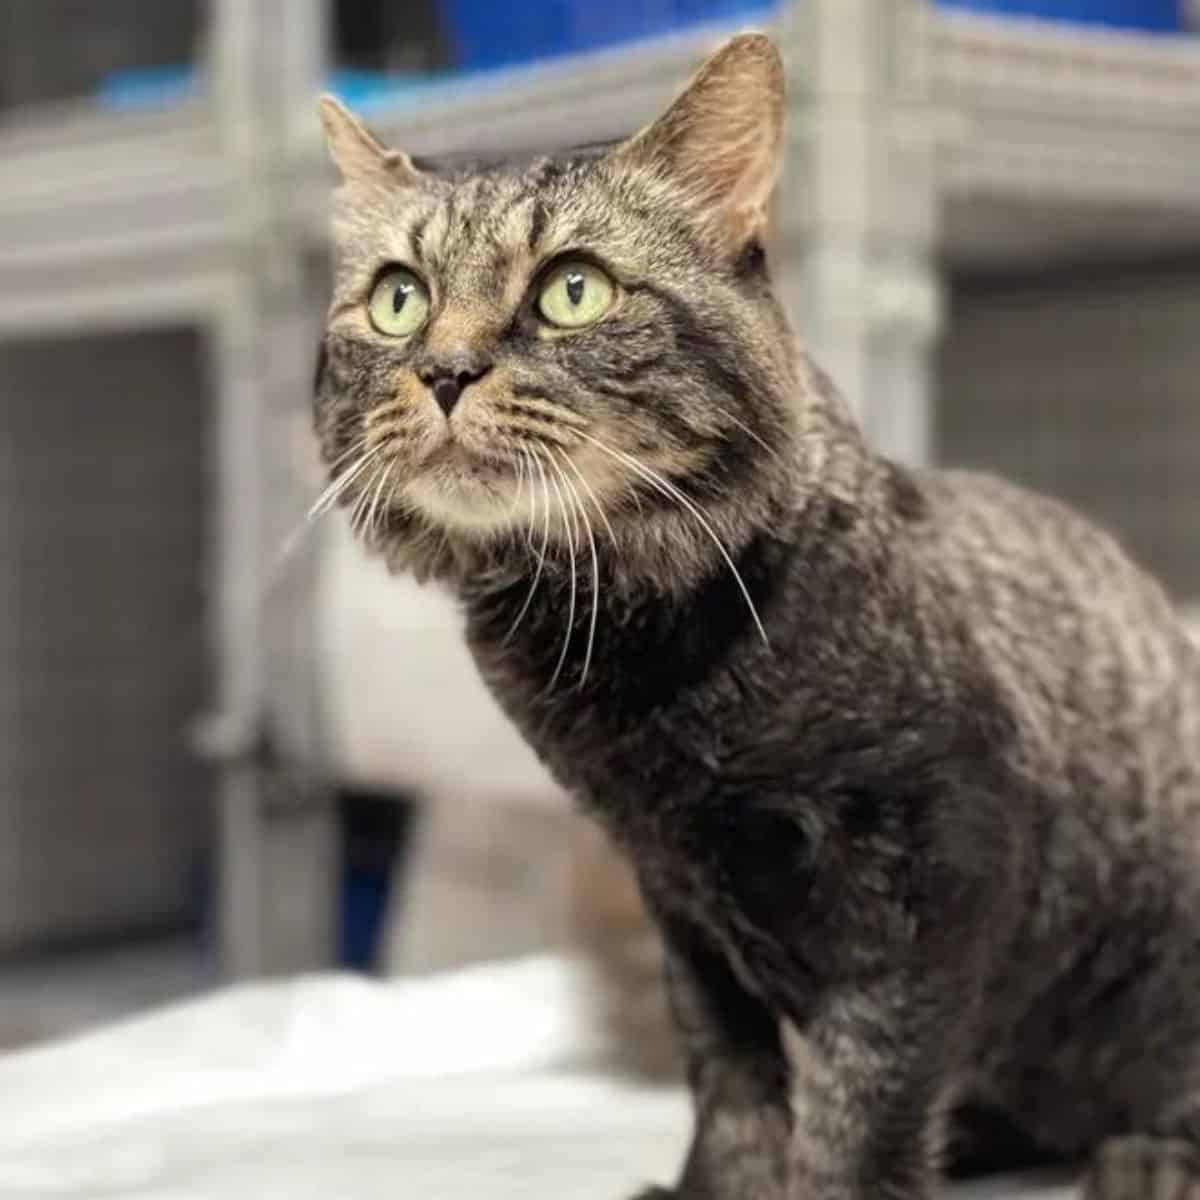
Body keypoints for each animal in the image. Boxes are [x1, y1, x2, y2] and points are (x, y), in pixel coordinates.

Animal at [314, 37, 1200, 1200]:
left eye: (572, 290)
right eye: (398, 301)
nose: (444, 370)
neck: (625, 655)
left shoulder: (929, 883)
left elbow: (863, 1105)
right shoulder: (680, 907)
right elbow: (729, 1086)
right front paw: (715, 1184)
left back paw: (1149, 1156)